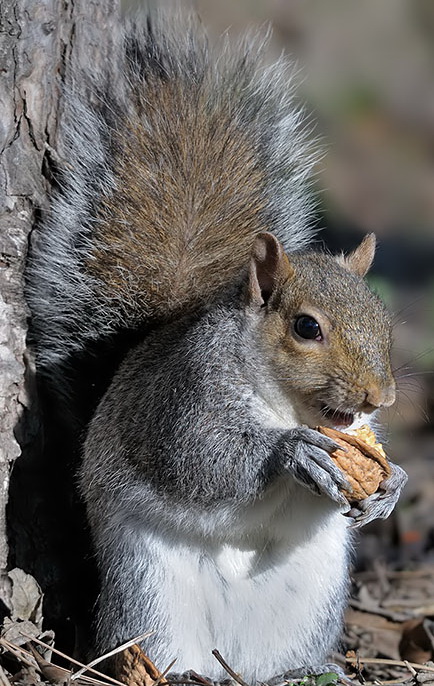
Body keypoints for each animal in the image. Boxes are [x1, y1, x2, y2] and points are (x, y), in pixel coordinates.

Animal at [26, 9, 407, 685]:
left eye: (384, 323)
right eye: (307, 328)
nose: (378, 397)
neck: (286, 404)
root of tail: (230, 663)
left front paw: (393, 486)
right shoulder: (184, 396)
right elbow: (199, 460)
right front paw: (291, 453)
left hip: (308, 596)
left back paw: (301, 672)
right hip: (149, 585)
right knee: (145, 638)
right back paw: (170, 670)